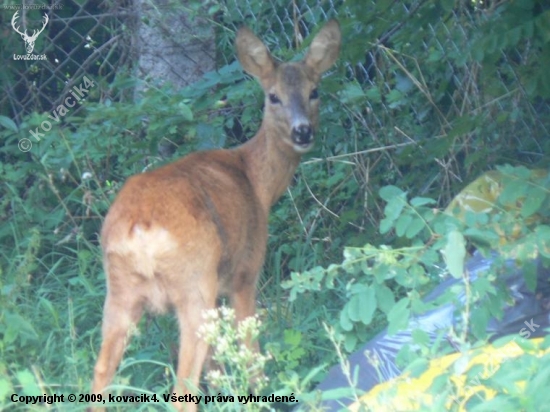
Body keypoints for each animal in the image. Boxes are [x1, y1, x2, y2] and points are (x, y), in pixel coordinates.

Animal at [91, 20, 340, 412]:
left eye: (314, 91)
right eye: (273, 96)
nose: (303, 131)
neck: (255, 180)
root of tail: (140, 229)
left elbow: (218, 366)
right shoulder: (245, 271)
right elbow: (249, 352)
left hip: (119, 289)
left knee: (101, 373)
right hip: (195, 281)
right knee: (182, 387)